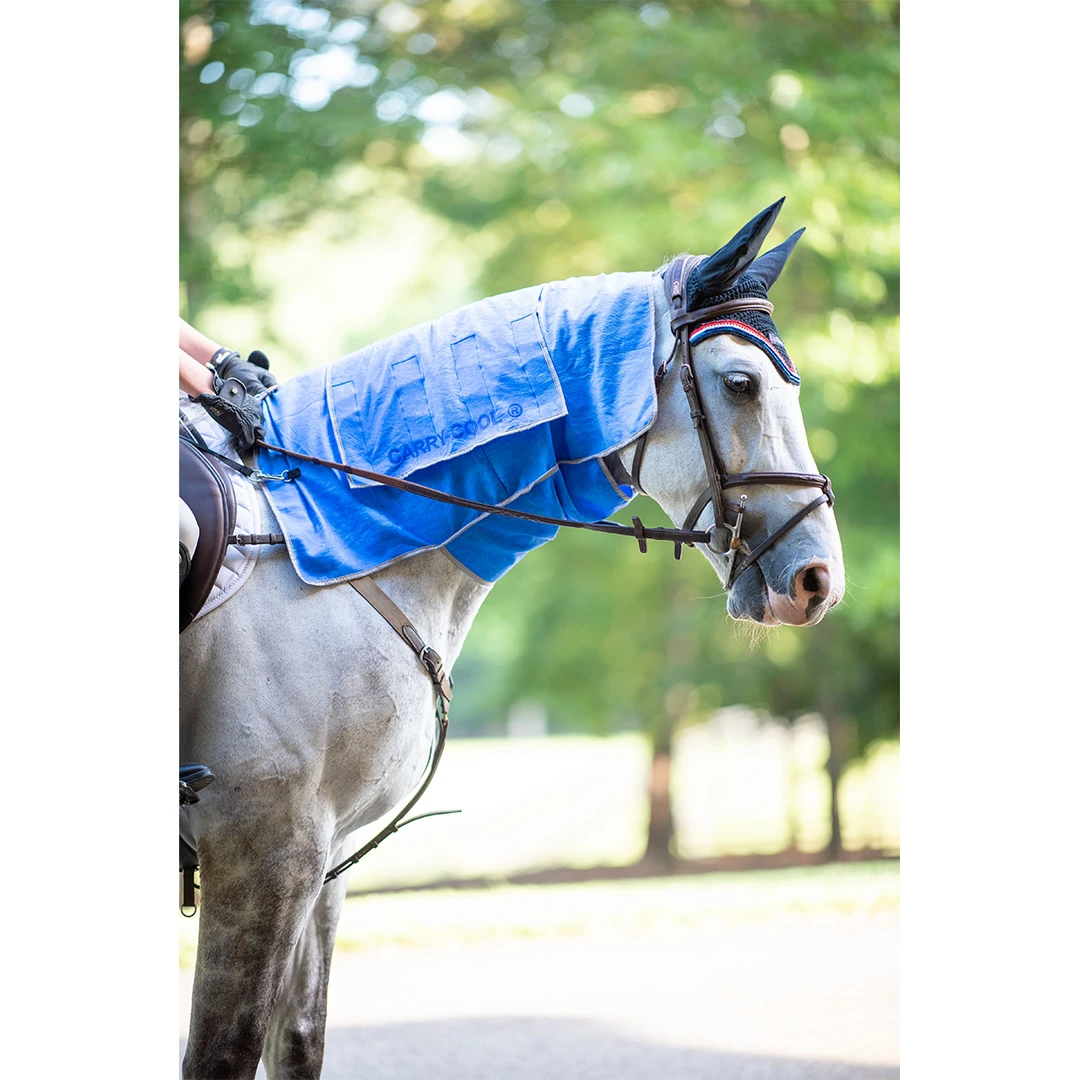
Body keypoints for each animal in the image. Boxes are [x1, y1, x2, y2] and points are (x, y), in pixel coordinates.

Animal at [179, 199, 845, 1079]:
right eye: (741, 384)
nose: (818, 579)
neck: (321, 537)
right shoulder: (262, 854)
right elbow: (221, 1052)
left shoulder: (320, 866)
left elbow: (297, 1044)